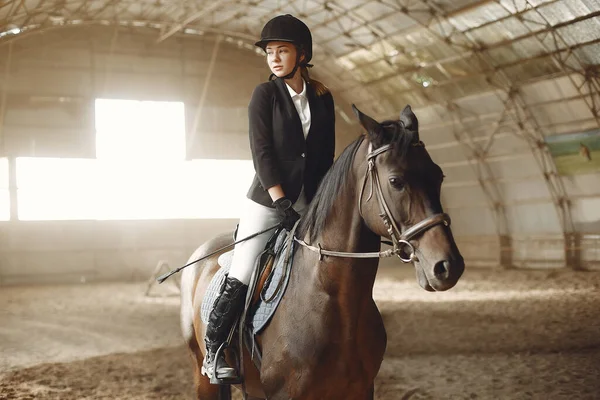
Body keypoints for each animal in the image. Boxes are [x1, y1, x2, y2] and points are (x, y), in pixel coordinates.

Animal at [180, 104, 466, 398]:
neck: (336, 300)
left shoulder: (362, 389)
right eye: (396, 181)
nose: (448, 266)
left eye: (439, 175)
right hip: (202, 376)